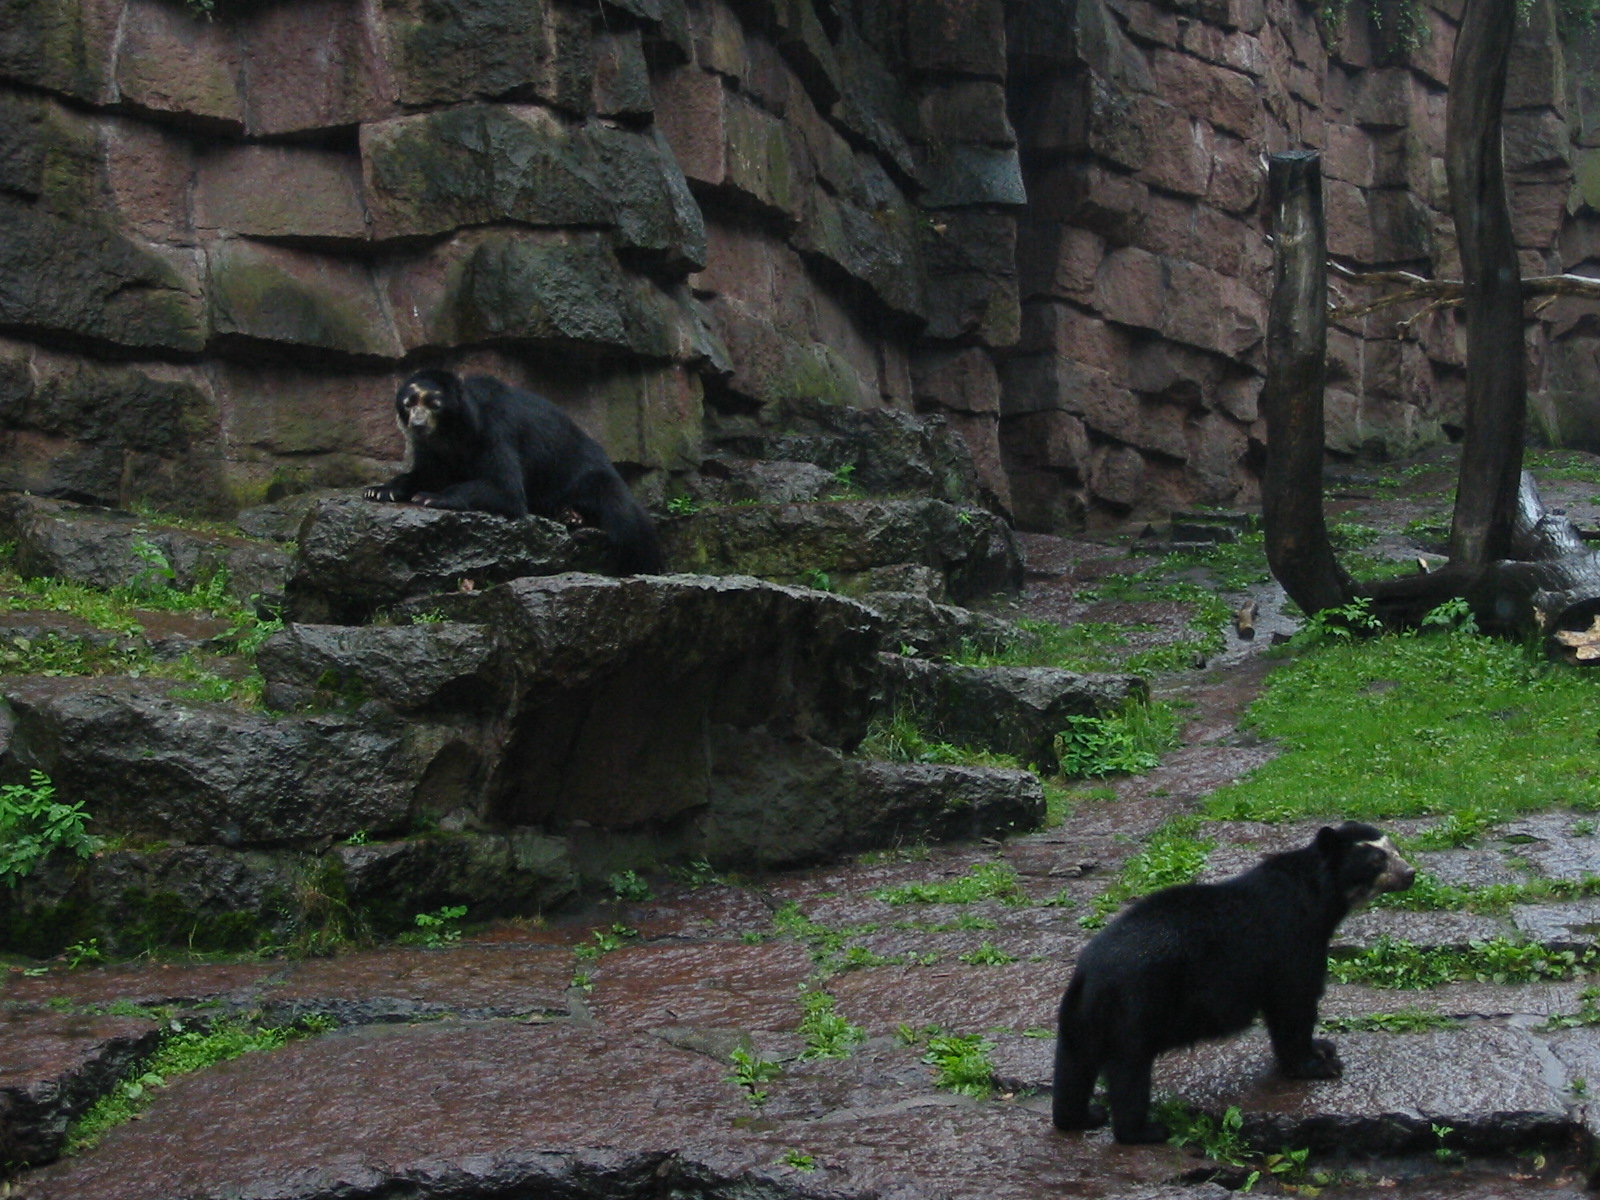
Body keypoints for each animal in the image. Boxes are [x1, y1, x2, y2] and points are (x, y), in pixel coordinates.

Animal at [1052, 821, 1415, 1144]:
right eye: (1375, 860)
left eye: (1395, 848)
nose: (1410, 873)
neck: (1318, 896)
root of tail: (1092, 972)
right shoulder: (1291, 939)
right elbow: (1294, 1001)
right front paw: (1317, 1064)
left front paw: (1323, 1048)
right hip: (1139, 1002)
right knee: (1130, 1067)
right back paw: (1145, 1131)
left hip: (1080, 1015)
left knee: (1074, 1063)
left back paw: (1082, 1116)